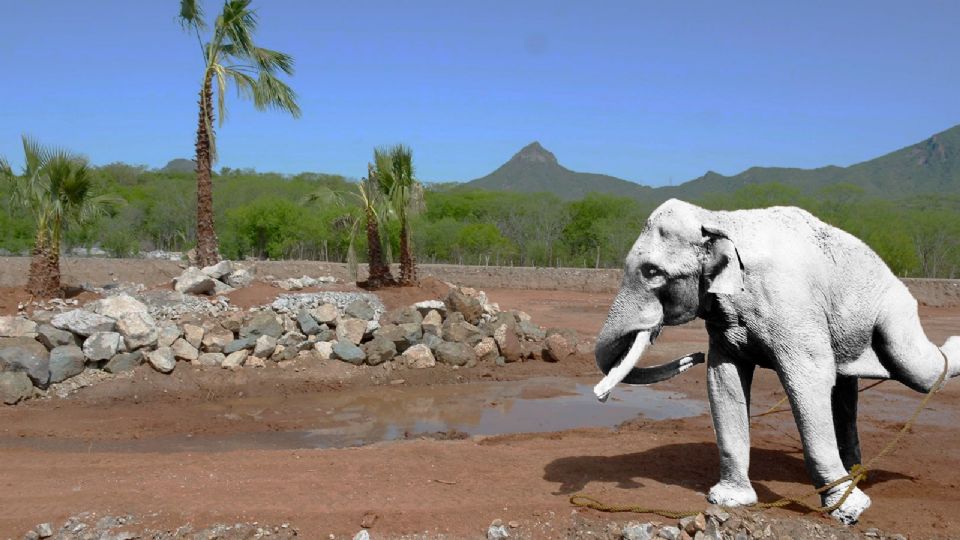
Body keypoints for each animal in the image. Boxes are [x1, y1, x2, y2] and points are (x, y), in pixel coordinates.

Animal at [593, 199, 960, 524]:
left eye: (652, 272)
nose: (693, 356)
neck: (719, 218)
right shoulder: (725, 322)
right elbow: (723, 381)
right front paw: (730, 500)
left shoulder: (791, 304)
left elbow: (810, 379)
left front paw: (850, 511)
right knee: (845, 390)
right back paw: (855, 475)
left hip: (894, 309)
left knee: (920, 372)